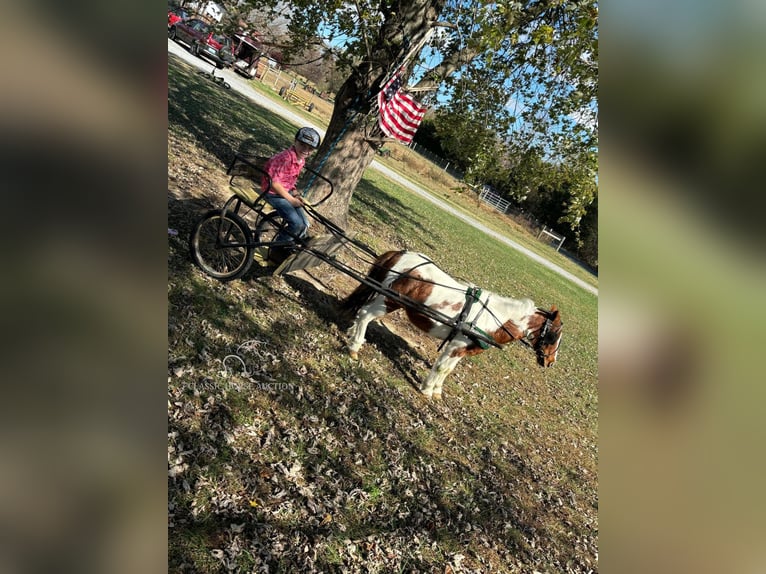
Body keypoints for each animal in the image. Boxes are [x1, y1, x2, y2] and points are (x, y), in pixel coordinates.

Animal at [342, 252, 564, 400]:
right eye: (554, 335)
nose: (551, 362)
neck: (493, 318)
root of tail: (400, 254)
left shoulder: (463, 349)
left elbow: (447, 370)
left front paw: (437, 391)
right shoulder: (455, 345)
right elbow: (441, 367)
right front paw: (426, 390)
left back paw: (351, 332)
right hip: (388, 301)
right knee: (365, 315)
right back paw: (354, 347)